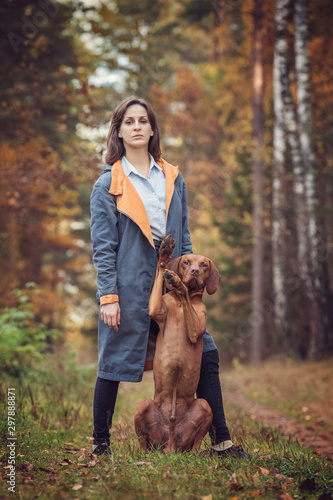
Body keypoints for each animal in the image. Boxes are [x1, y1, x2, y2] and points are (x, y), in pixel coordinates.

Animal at [134, 235, 222, 454]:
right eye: (186, 262)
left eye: (204, 264)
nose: (195, 272)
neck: (183, 304)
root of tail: (170, 446)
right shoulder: (156, 309)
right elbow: (161, 269)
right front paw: (165, 253)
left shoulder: (195, 330)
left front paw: (178, 282)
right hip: (143, 404)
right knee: (142, 440)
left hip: (204, 406)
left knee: (196, 443)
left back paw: (198, 455)